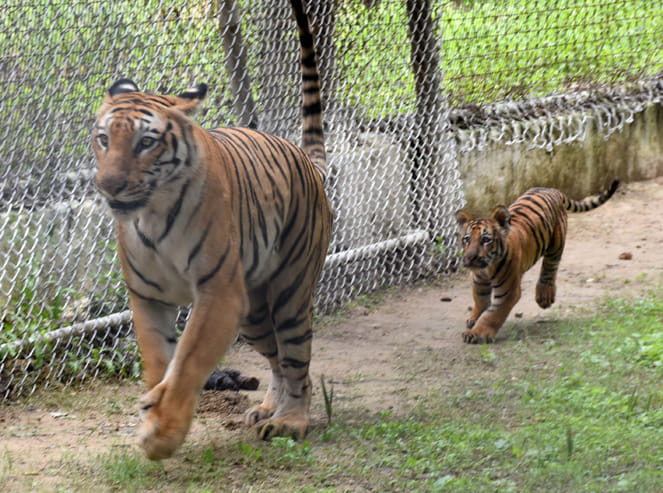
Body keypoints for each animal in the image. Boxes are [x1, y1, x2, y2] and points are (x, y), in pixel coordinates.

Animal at [91, 0, 332, 460]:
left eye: (145, 143)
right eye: (103, 139)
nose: (108, 185)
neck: (152, 214)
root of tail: (306, 159)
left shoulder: (218, 293)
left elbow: (188, 362)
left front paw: (163, 434)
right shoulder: (147, 297)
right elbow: (158, 360)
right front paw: (153, 414)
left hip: (290, 292)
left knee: (297, 361)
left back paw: (290, 421)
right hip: (254, 314)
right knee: (276, 359)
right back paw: (268, 408)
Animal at [455, 180, 619, 344]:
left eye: (486, 239)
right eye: (467, 239)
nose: (469, 258)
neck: (487, 268)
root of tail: (552, 189)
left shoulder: (507, 292)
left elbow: (493, 314)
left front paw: (477, 333)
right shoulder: (477, 280)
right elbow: (480, 299)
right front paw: (473, 318)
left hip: (556, 244)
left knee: (550, 267)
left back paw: (545, 295)